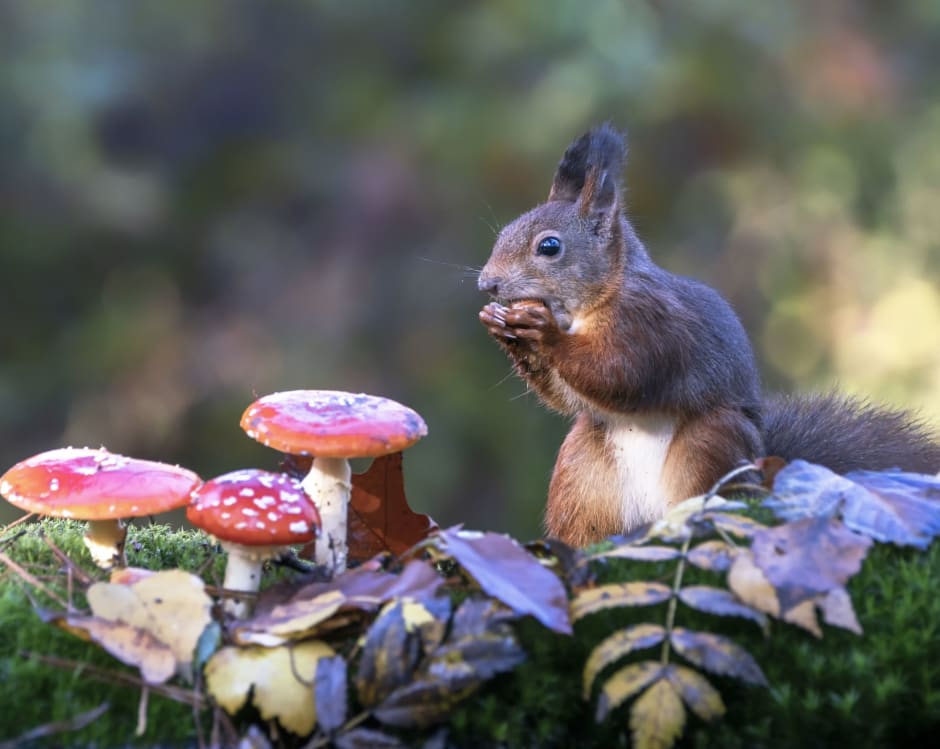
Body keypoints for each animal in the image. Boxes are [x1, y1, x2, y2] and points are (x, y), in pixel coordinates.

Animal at [478, 121, 940, 544]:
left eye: (549, 247)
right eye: (503, 234)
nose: (487, 284)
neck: (594, 301)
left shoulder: (652, 324)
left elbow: (620, 374)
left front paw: (544, 334)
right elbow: (568, 397)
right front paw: (501, 326)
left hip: (710, 443)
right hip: (582, 470)